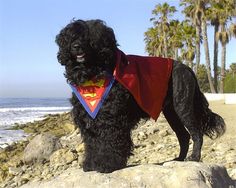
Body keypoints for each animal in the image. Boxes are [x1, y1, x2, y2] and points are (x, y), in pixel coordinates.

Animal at [54, 19, 225, 173]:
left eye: (89, 38)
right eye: (72, 37)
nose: (76, 46)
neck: (93, 73)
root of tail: (187, 68)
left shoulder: (111, 120)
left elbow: (108, 143)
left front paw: (107, 165)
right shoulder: (89, 119)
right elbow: (92, 144)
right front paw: (91, 164)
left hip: (183, 106)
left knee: (196, 133)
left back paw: (194, 157)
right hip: (172, 112)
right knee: (183, 136)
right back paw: (178, 159)